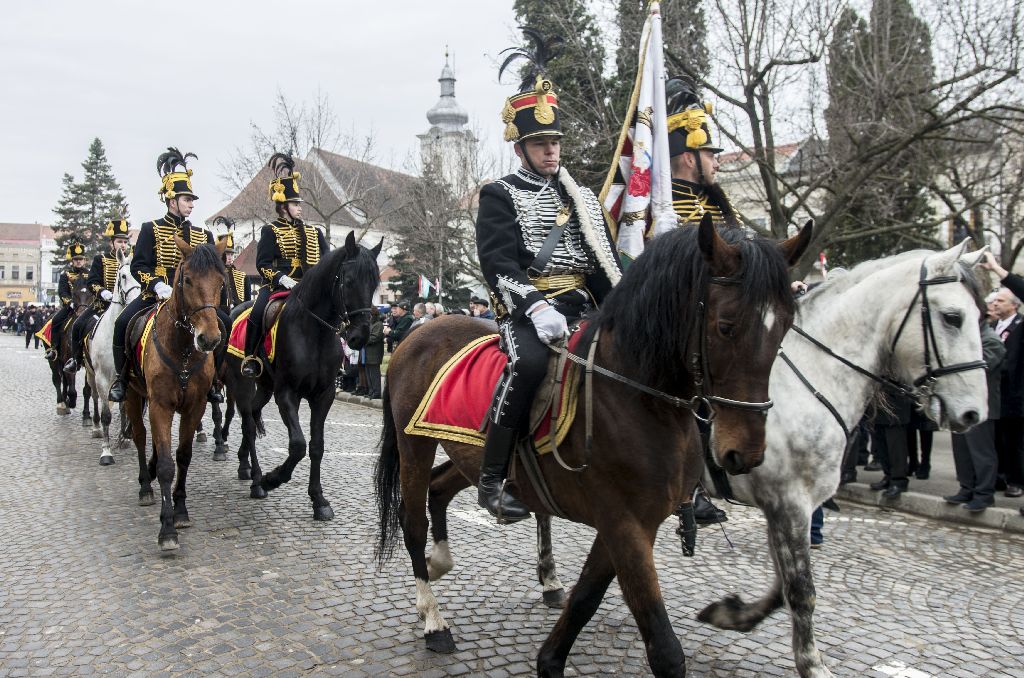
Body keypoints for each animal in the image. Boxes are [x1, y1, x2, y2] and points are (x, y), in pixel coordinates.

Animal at [84, 250, 140, 467]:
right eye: (123, 276)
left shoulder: (125, 377)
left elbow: (125, 407)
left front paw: (124, 437)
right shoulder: (102, 378)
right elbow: (107, 415)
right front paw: (106, 452)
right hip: (91, 375)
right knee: (94, 397)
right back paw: (96, 428)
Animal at [122, 238, 228, 553]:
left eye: (221, 282)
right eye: (188, 280)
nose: (209, 339)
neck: (182, 348)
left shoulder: (195, 406)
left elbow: (182, 457)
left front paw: (180, 512)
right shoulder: (160, 405)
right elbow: (168, 465)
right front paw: (167, 528)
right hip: (132, 395)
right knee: (141, 436)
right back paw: (146, 485)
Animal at [223, 231, 380, 522]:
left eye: (374, 283)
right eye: (349, 281)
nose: (359, 337)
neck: (314, 331)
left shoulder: (323, 395)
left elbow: (317, 446)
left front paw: (319, 500)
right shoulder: (287, 393)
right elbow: (297, 445)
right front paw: (273, 478)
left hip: (265, 388)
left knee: (252, 415)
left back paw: (244, 464)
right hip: (242, 383)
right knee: (247, 422)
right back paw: (257, 480)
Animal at [372, 219, 811, 678]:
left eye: (785, 327)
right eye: (726, 326)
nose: (745, 453)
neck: (637, 396)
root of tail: (420, 332)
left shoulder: (630, 524)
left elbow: (586, 597)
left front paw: (550, 661)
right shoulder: (624, 523)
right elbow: (663, 646)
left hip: (467, 454)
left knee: (440, 489)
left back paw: (446, 559)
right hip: (414, 444)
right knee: (413, 522)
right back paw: (433, 620)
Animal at [696, 241, 991, 675]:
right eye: (953, 317)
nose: (974, 414)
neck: (812, 376)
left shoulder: (784, 506)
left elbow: (783, 586)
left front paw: (731, 614)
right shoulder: (790, 502)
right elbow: (801, 590)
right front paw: (812, 664)